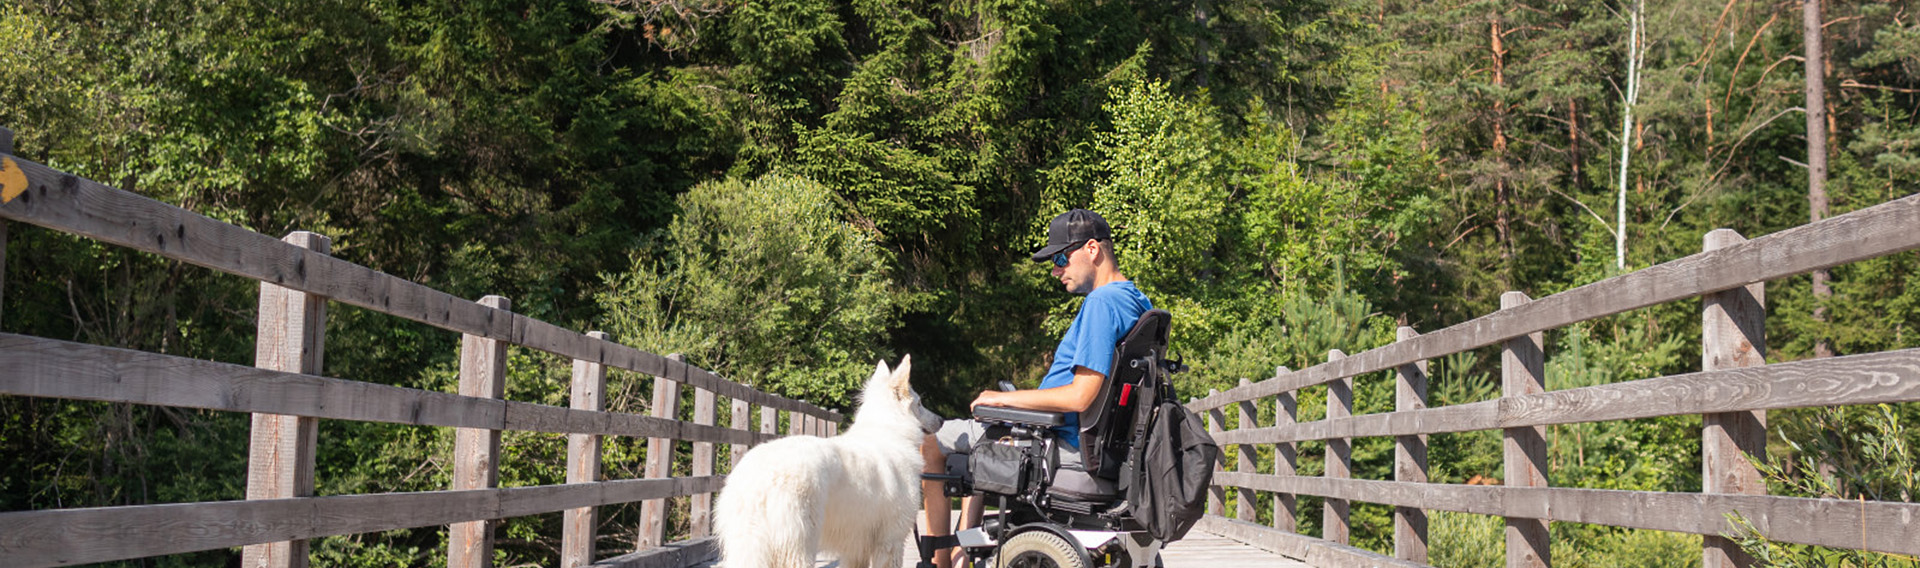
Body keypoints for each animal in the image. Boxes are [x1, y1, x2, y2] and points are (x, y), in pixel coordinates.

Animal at [710, 355, 940, 568]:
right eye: (920, 404)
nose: (941, 420)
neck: (888, 430)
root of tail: (757, 479)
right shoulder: (891, 541)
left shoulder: (857, 548)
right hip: (799, 547)